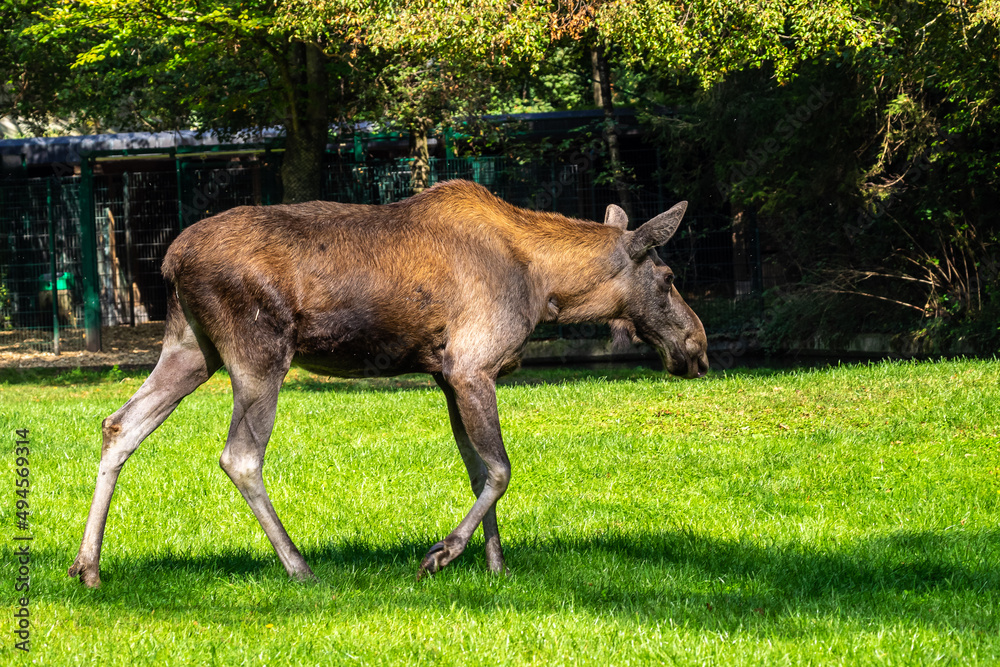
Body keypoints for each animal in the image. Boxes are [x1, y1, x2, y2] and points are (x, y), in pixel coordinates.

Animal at [68, 179, 708, 588]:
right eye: (669, 276)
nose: (697, 347)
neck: (548, 288)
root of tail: (169, 260)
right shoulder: (473, 364)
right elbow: (501, 469)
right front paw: (442, 555)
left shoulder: (448, 374)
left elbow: (480, 470)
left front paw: (496, 568)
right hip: (259, 351)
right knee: (239, 455)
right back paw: (299, 567)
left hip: (190, 347)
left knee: (120, 424)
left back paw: (88, 566)